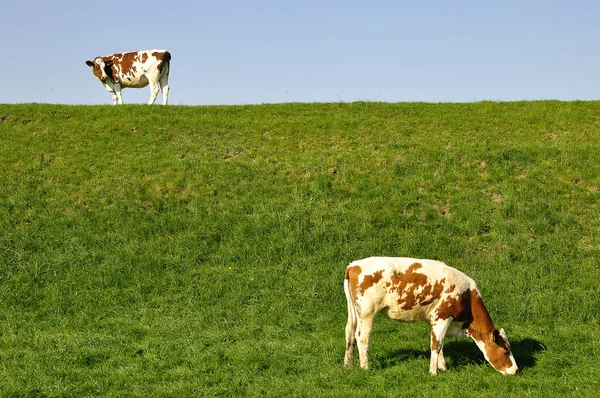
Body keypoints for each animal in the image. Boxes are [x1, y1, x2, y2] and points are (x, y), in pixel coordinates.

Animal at [344, 256, 516, 374]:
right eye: (506, 349)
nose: (516, 370)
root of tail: (354, 264)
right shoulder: (442, 317)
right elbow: (436, 345)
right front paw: (433, 372)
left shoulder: (435, 320)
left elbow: (440, 344)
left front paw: (443, 368)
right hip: (367, 312)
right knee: (362, 337)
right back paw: (365, 367)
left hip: (354, 312)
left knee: (350, 333)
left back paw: (348, 365)